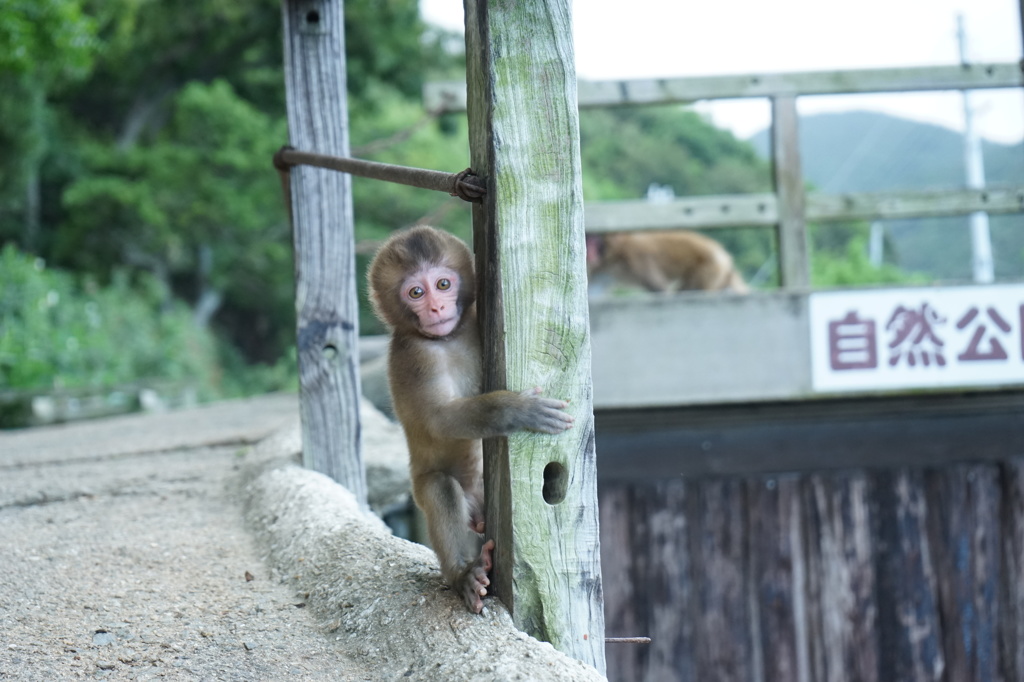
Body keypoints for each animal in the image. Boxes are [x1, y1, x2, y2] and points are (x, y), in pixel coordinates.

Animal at [368, 223, 577, 610]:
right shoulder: (416, 356)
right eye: (416, 292)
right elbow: (440, 420)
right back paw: (464, 574)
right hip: (425, 489)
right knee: (440, 489)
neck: (448, 338)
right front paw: (516, 409)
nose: (436, 307)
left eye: (443, 284)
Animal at [589, 229, 749, 292]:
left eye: (595, 243)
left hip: (710, 267)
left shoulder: (637, 258)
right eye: (589, 241)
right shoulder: (604, 267)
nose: (590, 253)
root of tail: (723, 254)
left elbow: (660, 288)